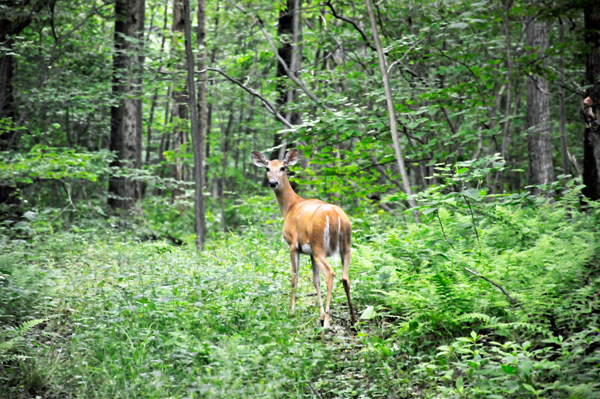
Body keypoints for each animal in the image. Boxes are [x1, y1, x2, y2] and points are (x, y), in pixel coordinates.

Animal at [252, 148, 356, 330]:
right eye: (267, 168)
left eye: (282, 168)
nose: (273, 183)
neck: (289, 207)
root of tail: (335, 216)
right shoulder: (311, 253)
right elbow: (315, 280)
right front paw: (319, 315)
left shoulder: (293, 244)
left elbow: (294, 277)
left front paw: (292, 312)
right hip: (344, 246)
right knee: (345, 277)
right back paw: (353, 318)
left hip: (320, 245)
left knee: (330, 274)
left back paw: (327, 322)